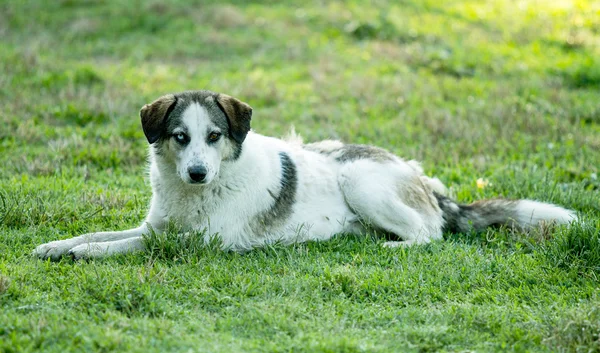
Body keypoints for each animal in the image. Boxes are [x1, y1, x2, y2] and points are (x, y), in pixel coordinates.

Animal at [35, 89, 580, 260]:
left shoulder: (200, 243)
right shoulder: (159, 226)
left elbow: (126, 245)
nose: (196, 173)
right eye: (180, 137)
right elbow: (106, 233)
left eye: (214, 135)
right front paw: (58, 246)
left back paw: (390, 248)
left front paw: (83, 255)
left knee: (431, 234)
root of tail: (422, 178)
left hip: (361, 182)